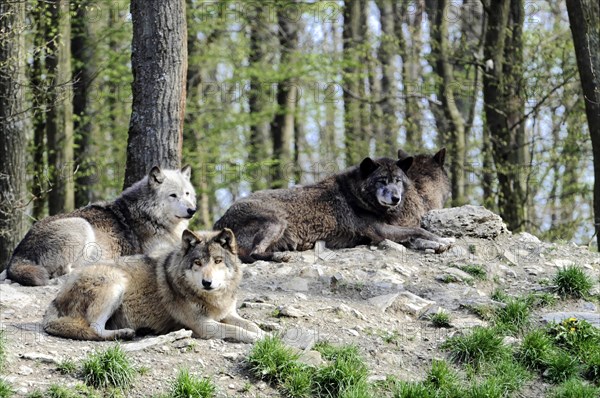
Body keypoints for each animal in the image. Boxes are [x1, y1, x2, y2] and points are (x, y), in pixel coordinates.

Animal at [5, 166, 197, 286]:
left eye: (187, 193)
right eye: (173, 195)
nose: (192, 210)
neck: (151, 216)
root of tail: (18, 253)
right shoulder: (156, 251)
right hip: (81, 225)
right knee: (64, 271)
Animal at [43, 229, 264, 344]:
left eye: (218, 261)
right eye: (198, 263)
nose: (207, 283)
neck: (212, 299)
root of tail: (55, 299)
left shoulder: (228, 314)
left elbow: (252, 325)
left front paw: (265, 334)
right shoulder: (203, 325)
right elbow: (238, 331)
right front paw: (261, 339)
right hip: (117, 282)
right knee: (94, 329)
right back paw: (124, 333)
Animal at [213, 154, 452, 262]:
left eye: (398, 181)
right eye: (382, 181)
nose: (396, 198)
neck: (357, 195)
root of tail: (219, 222)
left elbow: (415, 235)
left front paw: (438, 243)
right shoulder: (380, 232)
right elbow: (418, 230)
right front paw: (442, 239)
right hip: (277, 221)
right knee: (254, 253)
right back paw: (280, 256)